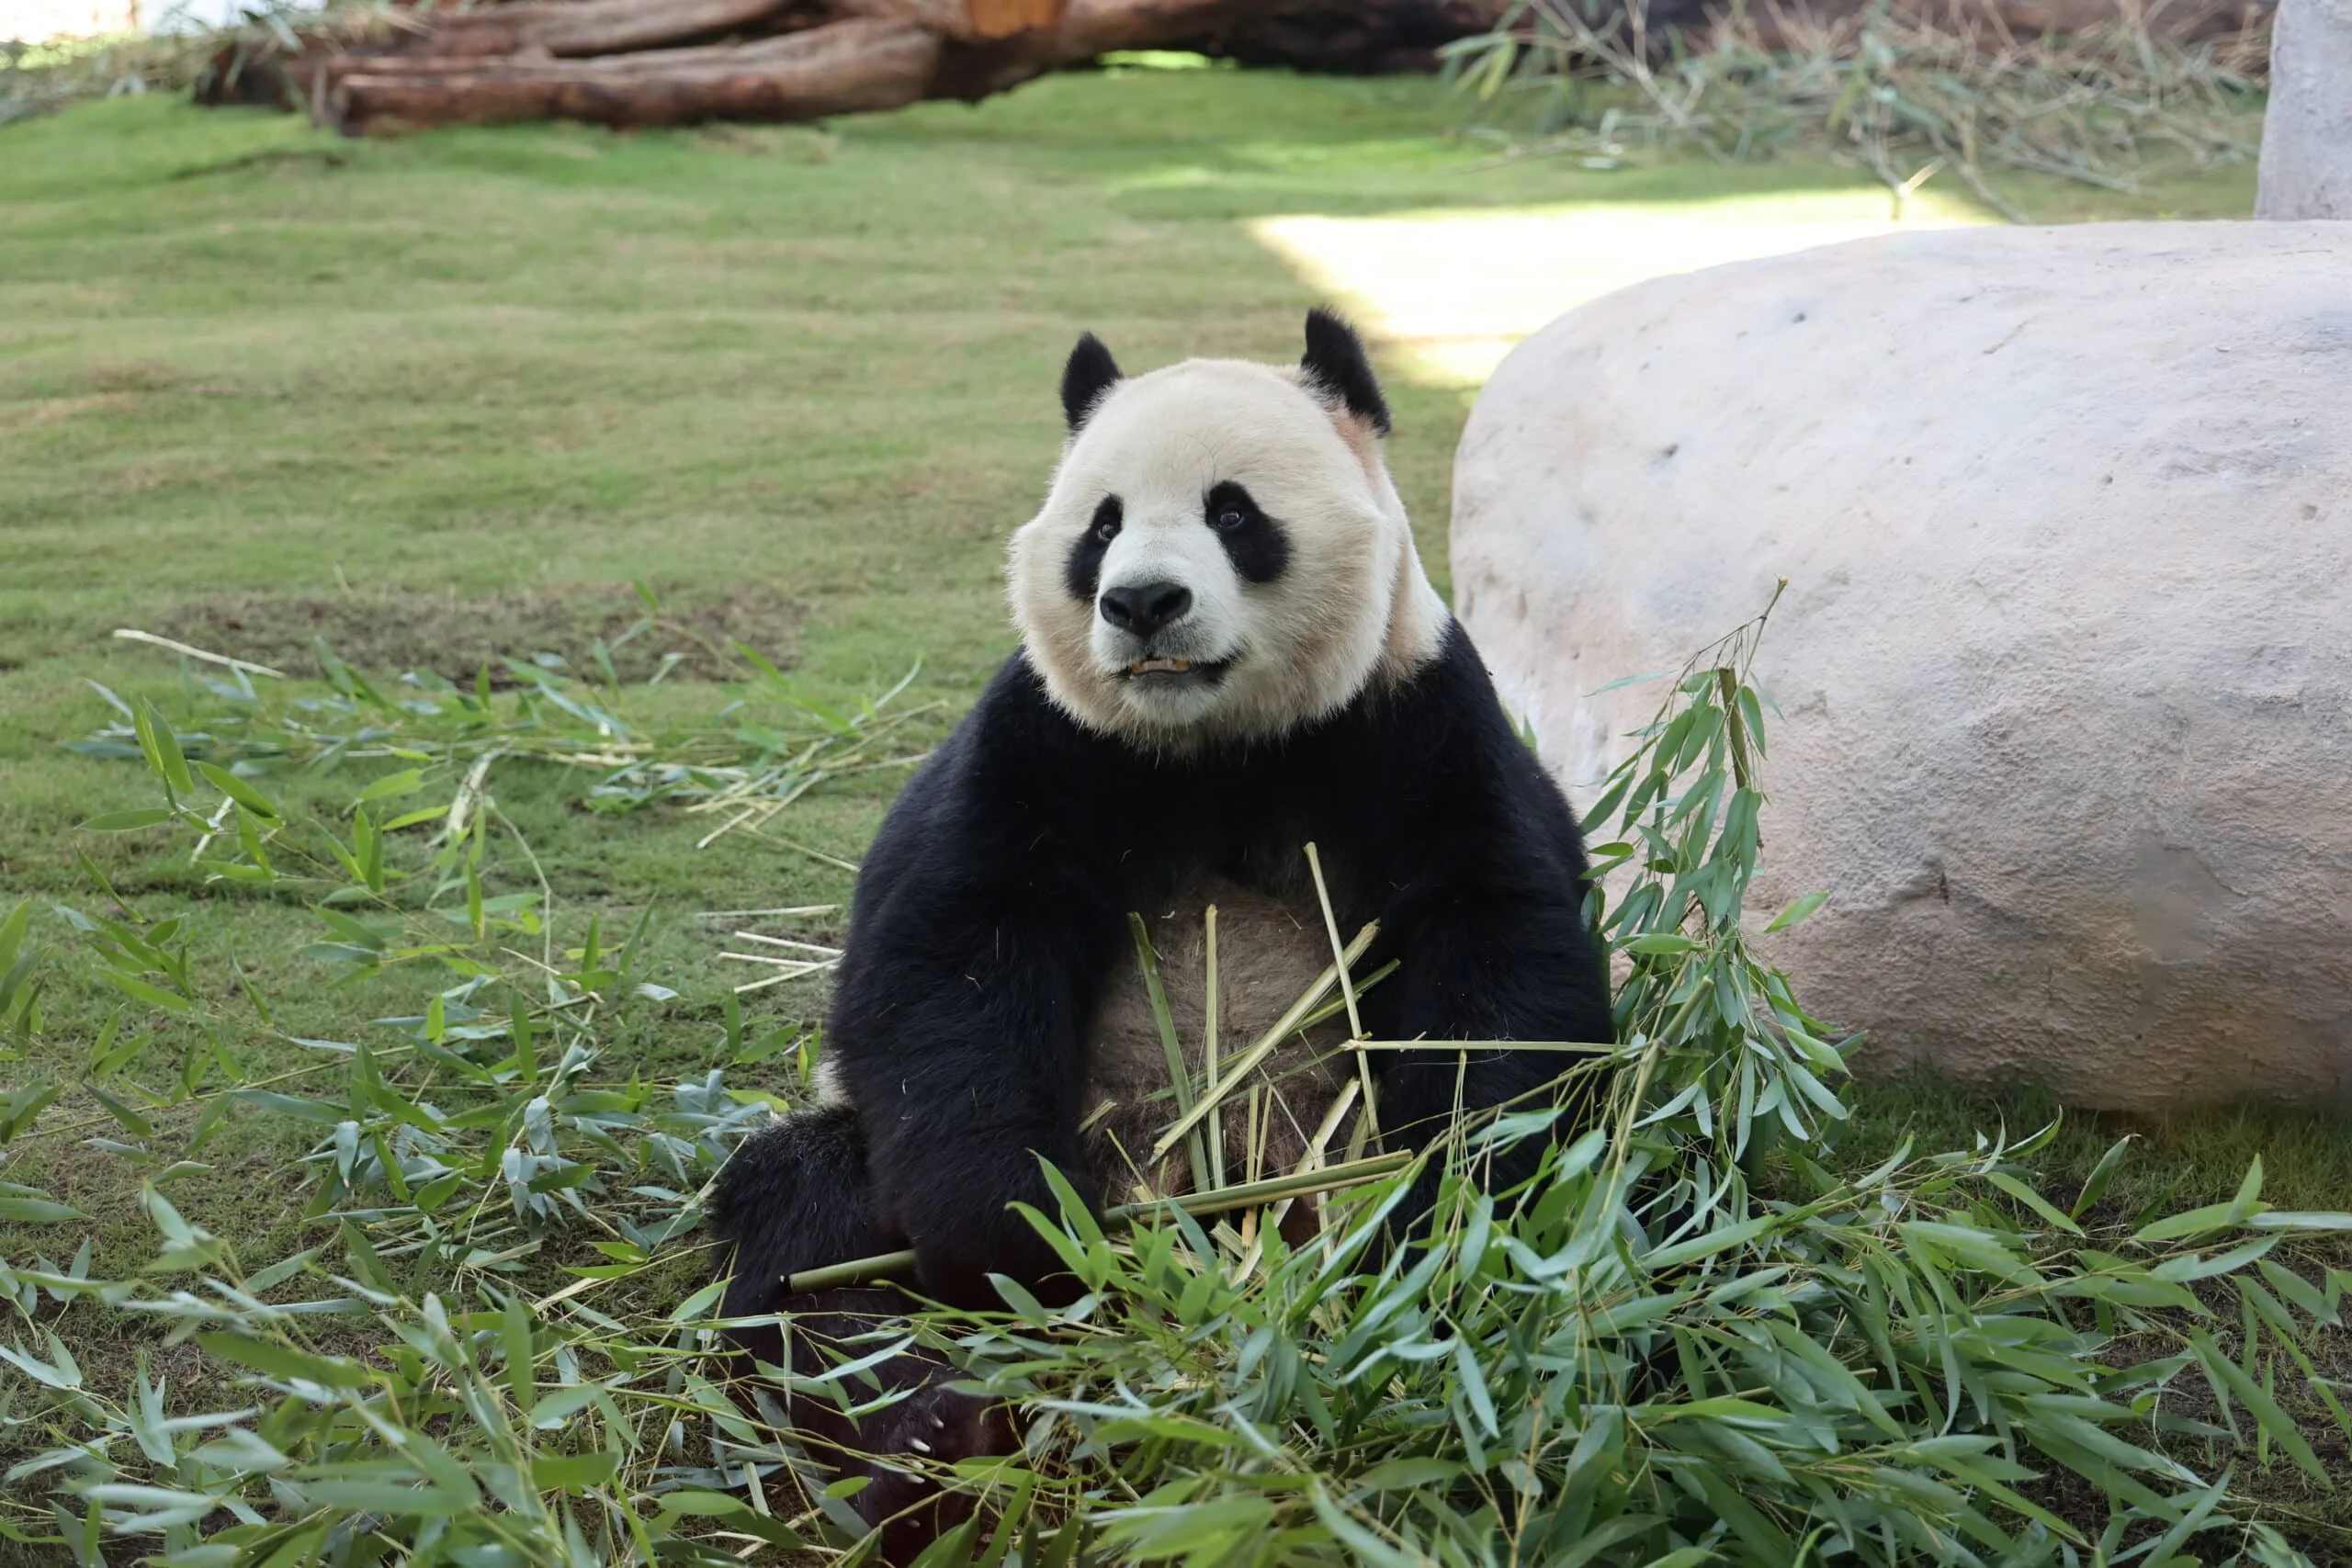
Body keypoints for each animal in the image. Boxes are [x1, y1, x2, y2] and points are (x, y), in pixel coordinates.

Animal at [707, 310, 1612, 1551]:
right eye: (1102, 525)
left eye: (1233, 513)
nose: (1140, 604)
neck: (1213, 743)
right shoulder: (1046, 739)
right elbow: (950, 957)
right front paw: (1021, 1241)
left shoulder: (1415, 719)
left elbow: (1498, 957)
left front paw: (1431, 1213)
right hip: (861, 1183)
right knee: (807, 1241)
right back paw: (933, 1445)